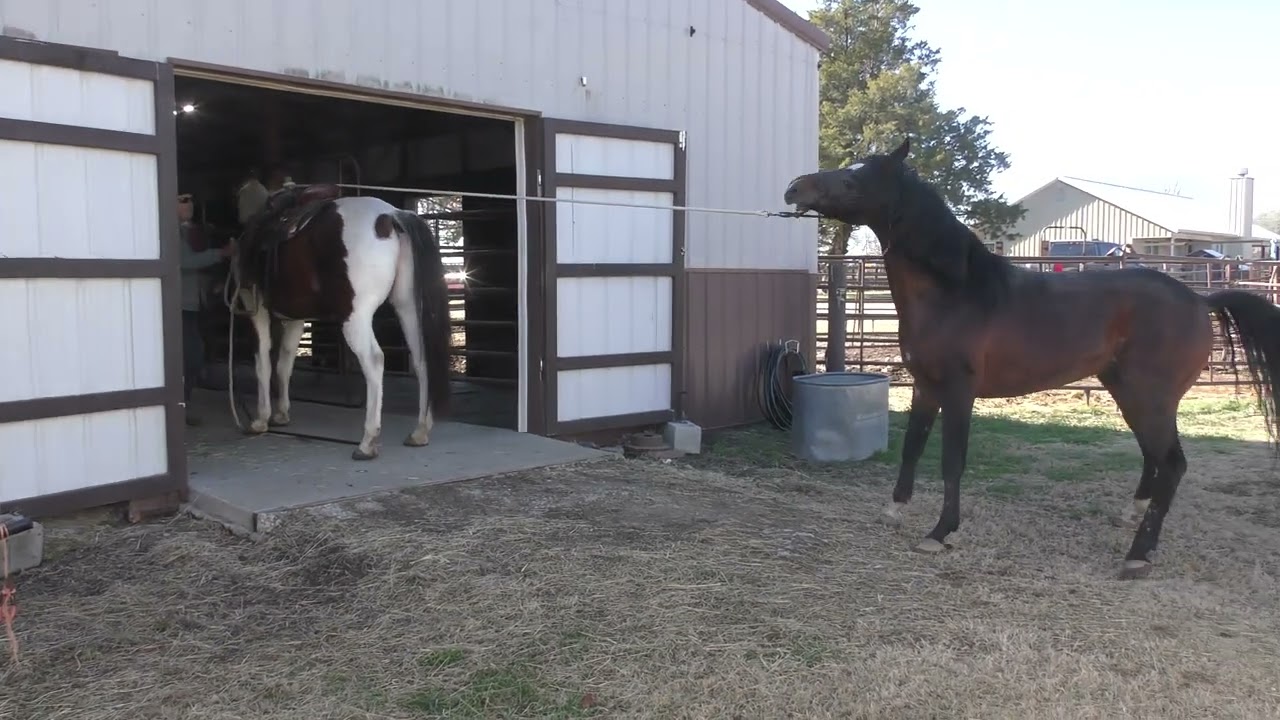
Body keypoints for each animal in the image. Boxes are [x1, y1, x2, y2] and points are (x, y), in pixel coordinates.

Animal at [229, 182, 453, 461]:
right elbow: (284, 363)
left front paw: (261, 419)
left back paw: (367, 443)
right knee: (422, 361)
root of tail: (391, 216)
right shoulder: (296, 319)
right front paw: (281, 414)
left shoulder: (255, 308)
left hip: (356, 316)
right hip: (408, 306)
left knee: (374, 361)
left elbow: (263, 363)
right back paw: (419, 432)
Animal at [783, 137, 1280, 579]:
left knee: (1173, 464)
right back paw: (1131, 517)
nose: (794, 188)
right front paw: (893, 510)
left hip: (1149, 397)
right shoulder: (925, 385)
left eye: (852, 179)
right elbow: (913, 447)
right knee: (1153, 456)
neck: (955, 292)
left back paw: (1138, 556)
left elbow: (951, 460)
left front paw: (940, 532)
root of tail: (1200, 299)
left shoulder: (959, 392)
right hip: (1129, 393)